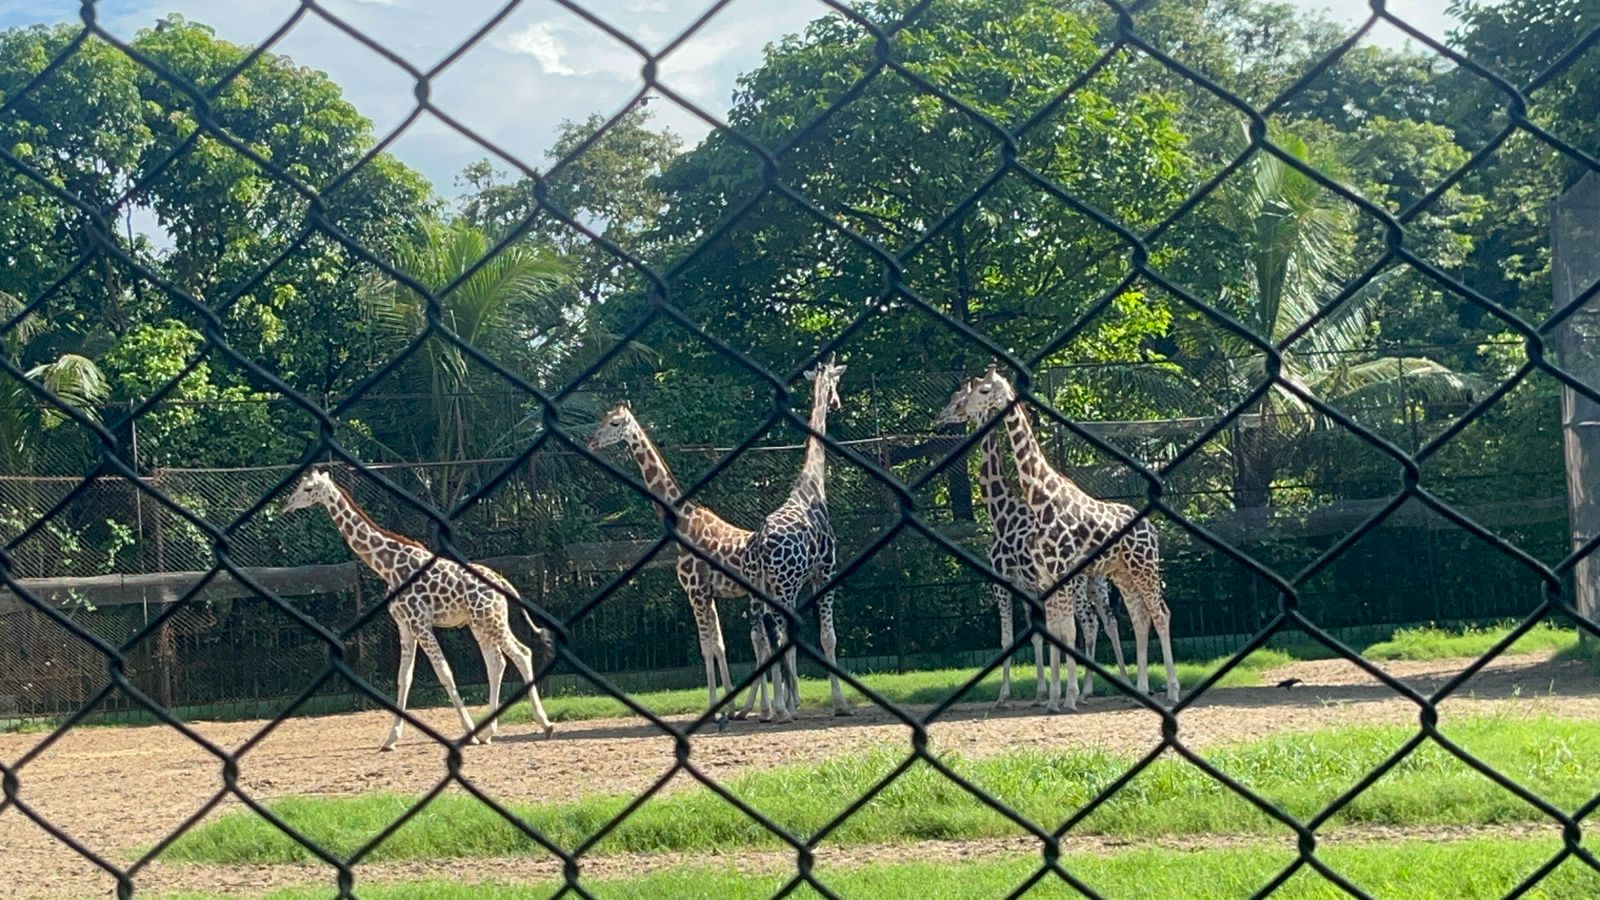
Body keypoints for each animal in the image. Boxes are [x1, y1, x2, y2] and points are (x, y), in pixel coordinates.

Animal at [284, 464, 560, 746]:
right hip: (478, 623)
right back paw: (488, 732)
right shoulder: (404, 625)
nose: (286, 504)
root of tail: (504, 584)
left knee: (522, 654)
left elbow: (444, 672)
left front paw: (467, 731)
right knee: (496, 663)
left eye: (307, 488)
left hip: (491, 620)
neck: (389, 567)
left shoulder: (421, 623)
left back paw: (544, 724)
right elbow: (403, 678)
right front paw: (391, 739)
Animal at [588, 403, 787, 717]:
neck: (681, 521)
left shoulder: (695, 591)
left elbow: (707, 647)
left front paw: (715, 707)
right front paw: (729, 705)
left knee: (766, 640)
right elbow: (718, 644)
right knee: (769, 640)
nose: (592, 442)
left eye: (615, 423)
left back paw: (773, 708)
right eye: (603, 419)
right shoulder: (707, 593)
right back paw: (770, 707)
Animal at [739, 353, 857, 717]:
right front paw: (840, 704)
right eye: (836, 379)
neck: (812, 486)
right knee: (777, 634)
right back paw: (780, 709)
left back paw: (773, 708)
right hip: (785, 585)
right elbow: (827, 637)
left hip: (760, 587)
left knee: (762, 635)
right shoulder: (825, 571)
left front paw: (795, 700)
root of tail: (761, 543)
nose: (836, 401)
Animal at [934, 368, 1177, 711]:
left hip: (1142, 569)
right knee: (1138, 618)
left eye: (981, 391)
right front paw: (1051, 697)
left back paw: (1170, 691)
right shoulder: (1042, 578)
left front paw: (1063, 696)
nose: (947, 415)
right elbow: (1053, 632)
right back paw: (1139, 690)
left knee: (1156, 615)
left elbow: (1063, 632)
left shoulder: (1039, 575)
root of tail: (1153, 530)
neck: (1038, 499)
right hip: (1120, 574)